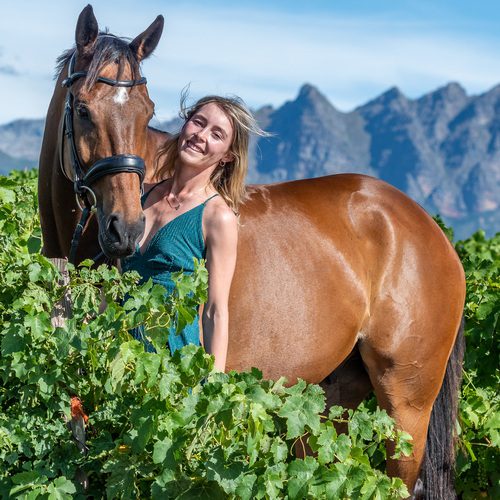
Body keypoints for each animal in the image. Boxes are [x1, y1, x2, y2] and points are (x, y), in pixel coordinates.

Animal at [38, 5, 464, 498]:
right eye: (83, 109)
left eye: (147, 111)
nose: (126, 229)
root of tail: (428, 228)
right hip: (326, 401)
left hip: (407, 403)